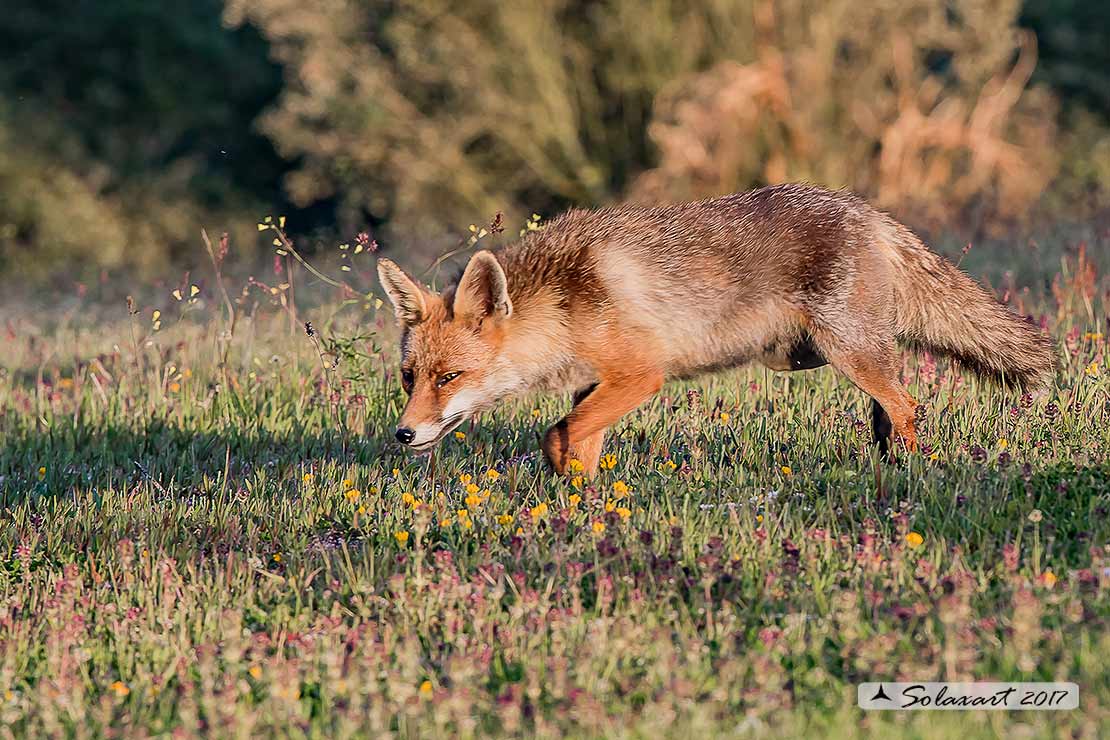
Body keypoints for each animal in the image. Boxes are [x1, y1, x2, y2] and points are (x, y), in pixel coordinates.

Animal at [375, 181, 1056, 477]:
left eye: (450, 377)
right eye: (410, 378)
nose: (403, 434)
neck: (564, 302)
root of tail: (869, 211)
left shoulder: (641, 377)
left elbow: (557, 435)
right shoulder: (597, 385)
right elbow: (575, 442)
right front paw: (584, 507)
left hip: (846, 350)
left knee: (909, 406)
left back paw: (908, 479)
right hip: (840, 355)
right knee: (890, 411)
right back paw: (886, 466)